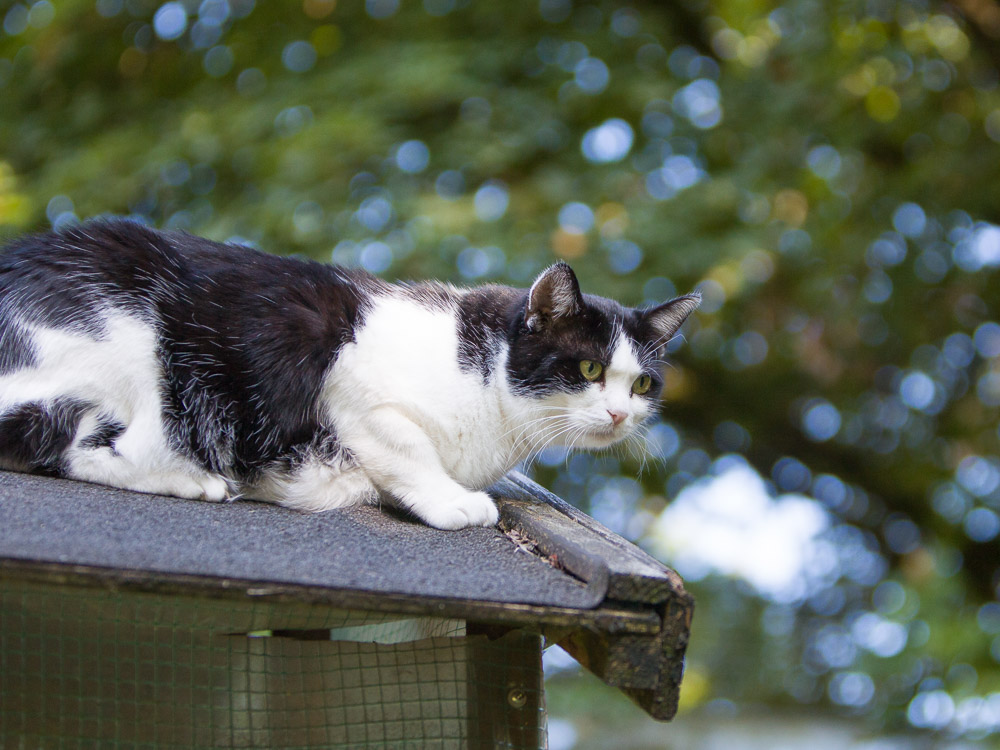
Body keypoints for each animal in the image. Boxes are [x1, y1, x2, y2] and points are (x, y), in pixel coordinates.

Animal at [0, 220, 704, 532]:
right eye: (588, 367)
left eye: (642, 385)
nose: (619, 414)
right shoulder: (352, 387)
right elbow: (408, 446)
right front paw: (452, 500)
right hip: (128, 337)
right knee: (68, 444)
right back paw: (194, 480)